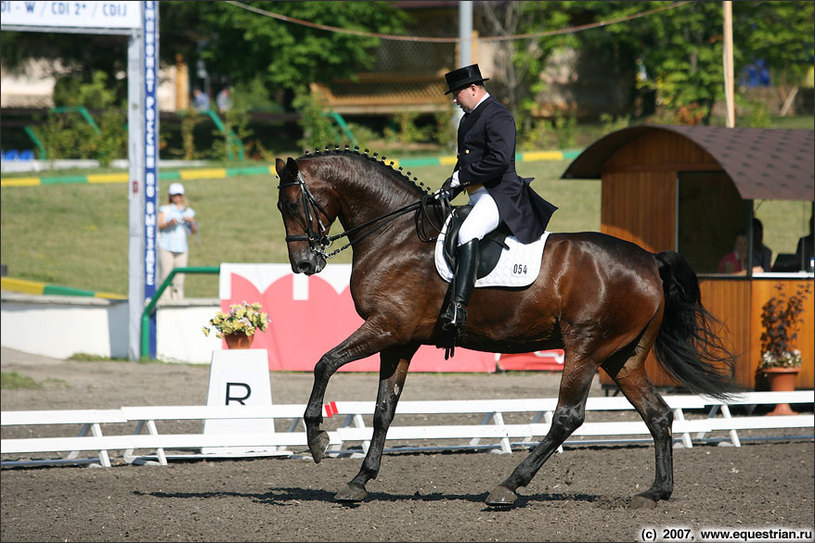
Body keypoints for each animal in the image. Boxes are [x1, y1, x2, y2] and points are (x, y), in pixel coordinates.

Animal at [276, 147, 740, 508]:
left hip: (586, 348)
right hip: (623, 357)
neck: (396, 235)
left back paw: (508, 486)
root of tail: (649, 260)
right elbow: (383, 410)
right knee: (658, 414)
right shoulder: (399, 340)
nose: (304, 265)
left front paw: (318, 440)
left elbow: (324, 363)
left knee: (568, 417)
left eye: (293, 205)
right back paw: (655, 491)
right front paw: (359, 481)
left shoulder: (386, 327)